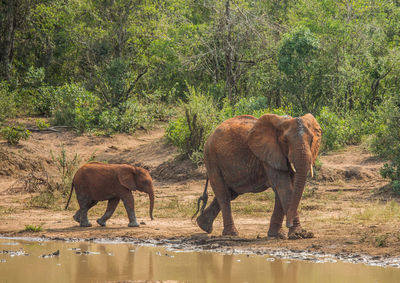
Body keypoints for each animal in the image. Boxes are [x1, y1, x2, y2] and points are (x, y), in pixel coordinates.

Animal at [194, 113, 322, 240]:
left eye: (311, 140)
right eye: (285, 141)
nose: (288, 224)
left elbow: (286, 188)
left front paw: (277, 235)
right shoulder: (268, 155)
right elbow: (283, 187)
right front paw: (298, 234)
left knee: (231, 192)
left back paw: (203, 225)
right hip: (211, 157)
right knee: (223, 193)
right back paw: (231, 234)